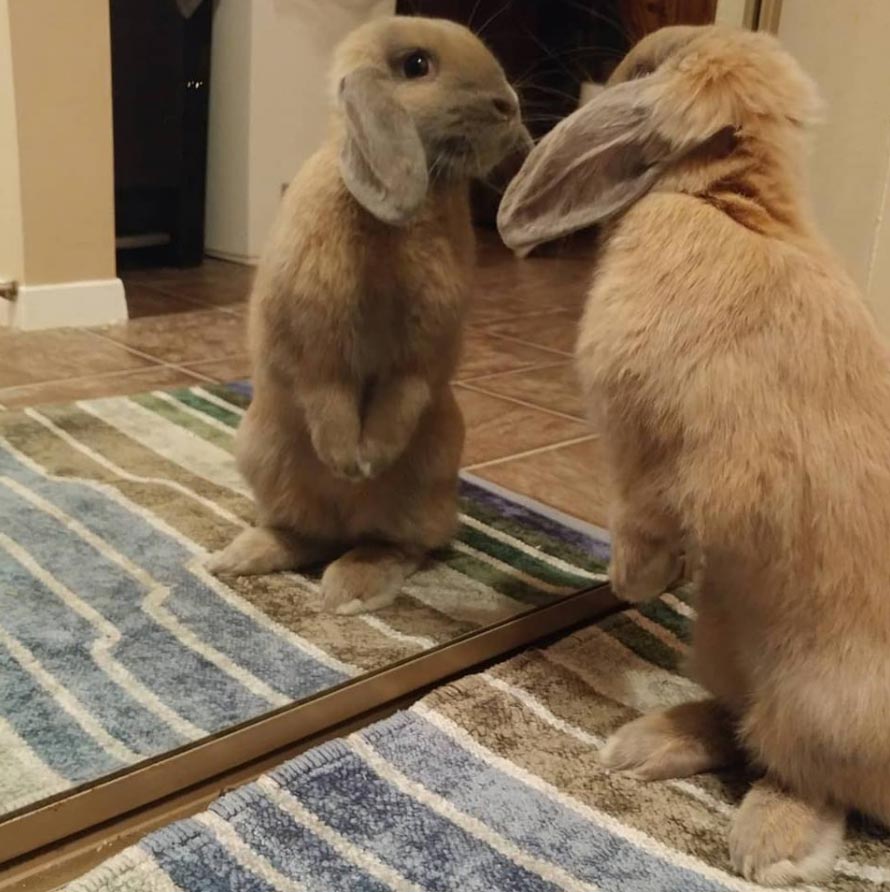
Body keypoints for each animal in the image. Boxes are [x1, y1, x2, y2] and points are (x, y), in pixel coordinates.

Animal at [208, 13, 528, 616]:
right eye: (417, 65)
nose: (509, 105)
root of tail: (344, 523)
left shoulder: (423, 354)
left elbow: (402, 394)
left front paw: (369, 461)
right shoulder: (312, 346)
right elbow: (326, 394)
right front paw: (346, 462)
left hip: (427, 478)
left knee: (398, 546)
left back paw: (349, 590)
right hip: (264, 456)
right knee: (305, 535)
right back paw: (242, 557)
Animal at [496, 24, 888, 888]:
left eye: (640, 70)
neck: (728, 207)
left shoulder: (653, 447)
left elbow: (643, 509)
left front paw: (631, 581)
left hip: (818, 705)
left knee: (807, 776)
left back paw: (771, 846)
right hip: (723, 638)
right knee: (740, 724)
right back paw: (644, 746)